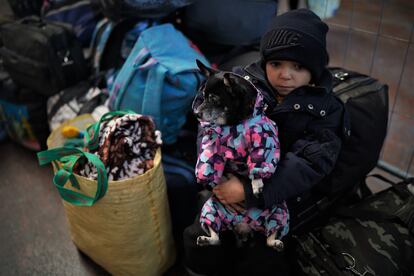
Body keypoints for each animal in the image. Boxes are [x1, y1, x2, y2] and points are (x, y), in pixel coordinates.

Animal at [193, 59, 288, 250]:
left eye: (213, 99)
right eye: (203, 96)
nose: (196, 113)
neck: (234, 124)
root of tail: (244, 226)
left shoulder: (264, 140)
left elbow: (259, 164)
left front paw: (256, 184)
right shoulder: (213, 145)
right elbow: (209, 161)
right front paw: (207, 178)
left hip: (280, 212)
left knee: (270, 236)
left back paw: (276, 243)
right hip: (211, 209)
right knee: (216, 237)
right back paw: (205, 239)